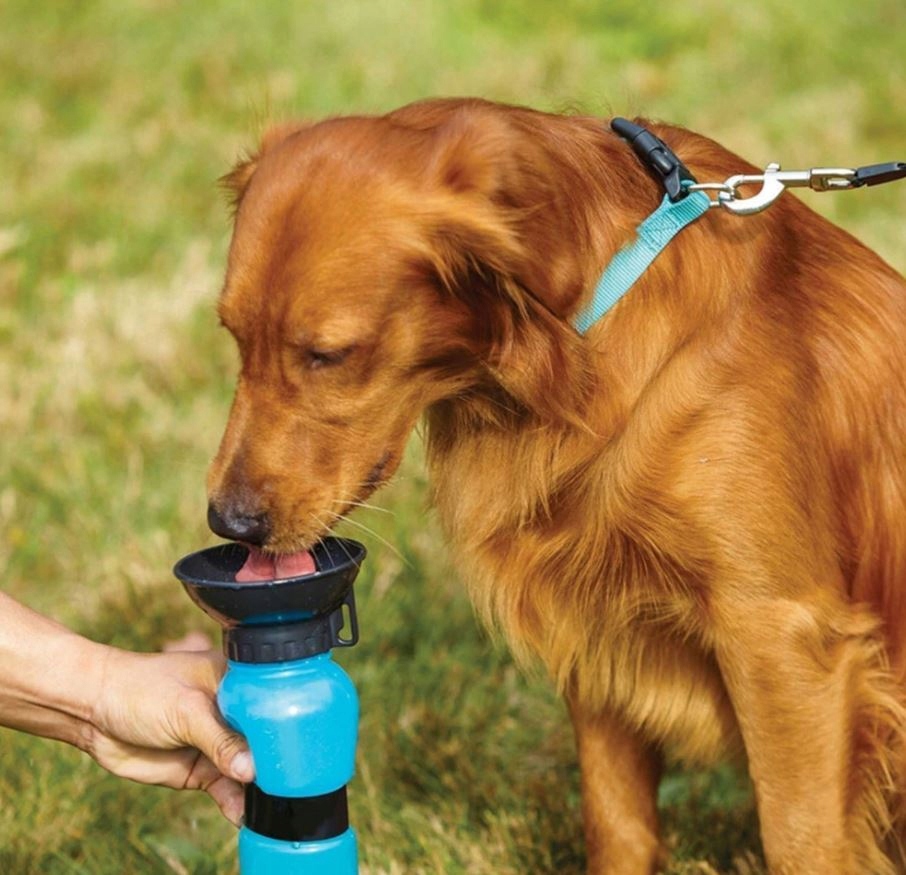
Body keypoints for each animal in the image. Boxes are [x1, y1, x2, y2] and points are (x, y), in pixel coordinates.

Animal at [205, 97, 904, 875]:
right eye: (233, 336)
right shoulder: (597, 617)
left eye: (328, 354)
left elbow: (799, 840)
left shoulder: (784, 638)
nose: (228, 523)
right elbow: (616, 822)